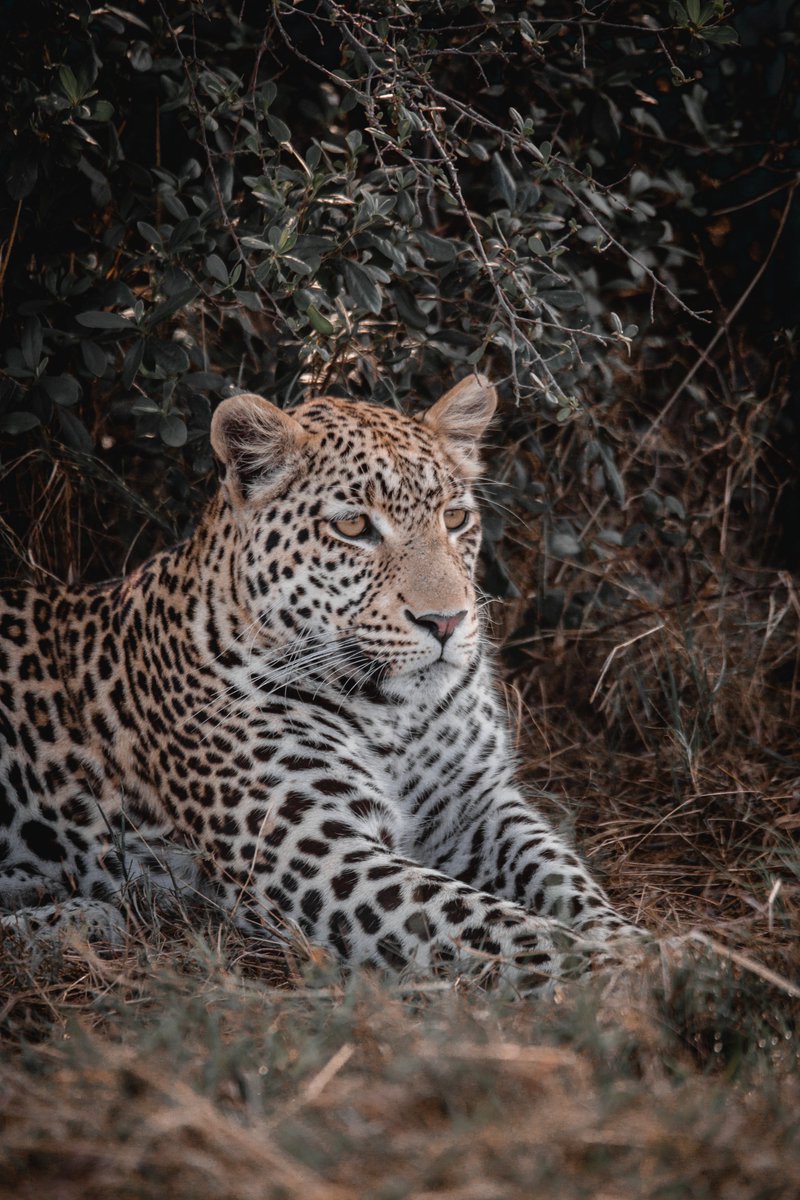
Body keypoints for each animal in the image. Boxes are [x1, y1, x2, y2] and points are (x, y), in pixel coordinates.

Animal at [0, 376, 642, 993]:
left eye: (455, 519)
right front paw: (632, 971)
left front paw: (629, 938)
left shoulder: (476, 806)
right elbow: (489, 921)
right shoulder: (322, 851)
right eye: (354, 526)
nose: (447, 621)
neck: (395, 713)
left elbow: (563, 876)